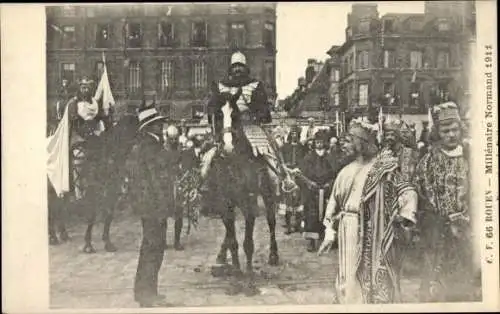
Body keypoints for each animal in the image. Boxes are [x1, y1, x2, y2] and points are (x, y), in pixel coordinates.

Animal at [202, 89, 282, 276]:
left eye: (235, 115)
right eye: (217, 115)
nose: (228, 147)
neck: (233, 163)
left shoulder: (249, 202)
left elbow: (248, 242)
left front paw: (249, 271)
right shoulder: (224, 203)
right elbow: (232, 239)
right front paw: (236, 267)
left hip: (268, 194)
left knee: (271, 220)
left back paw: (273, 255)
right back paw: (222, 256)